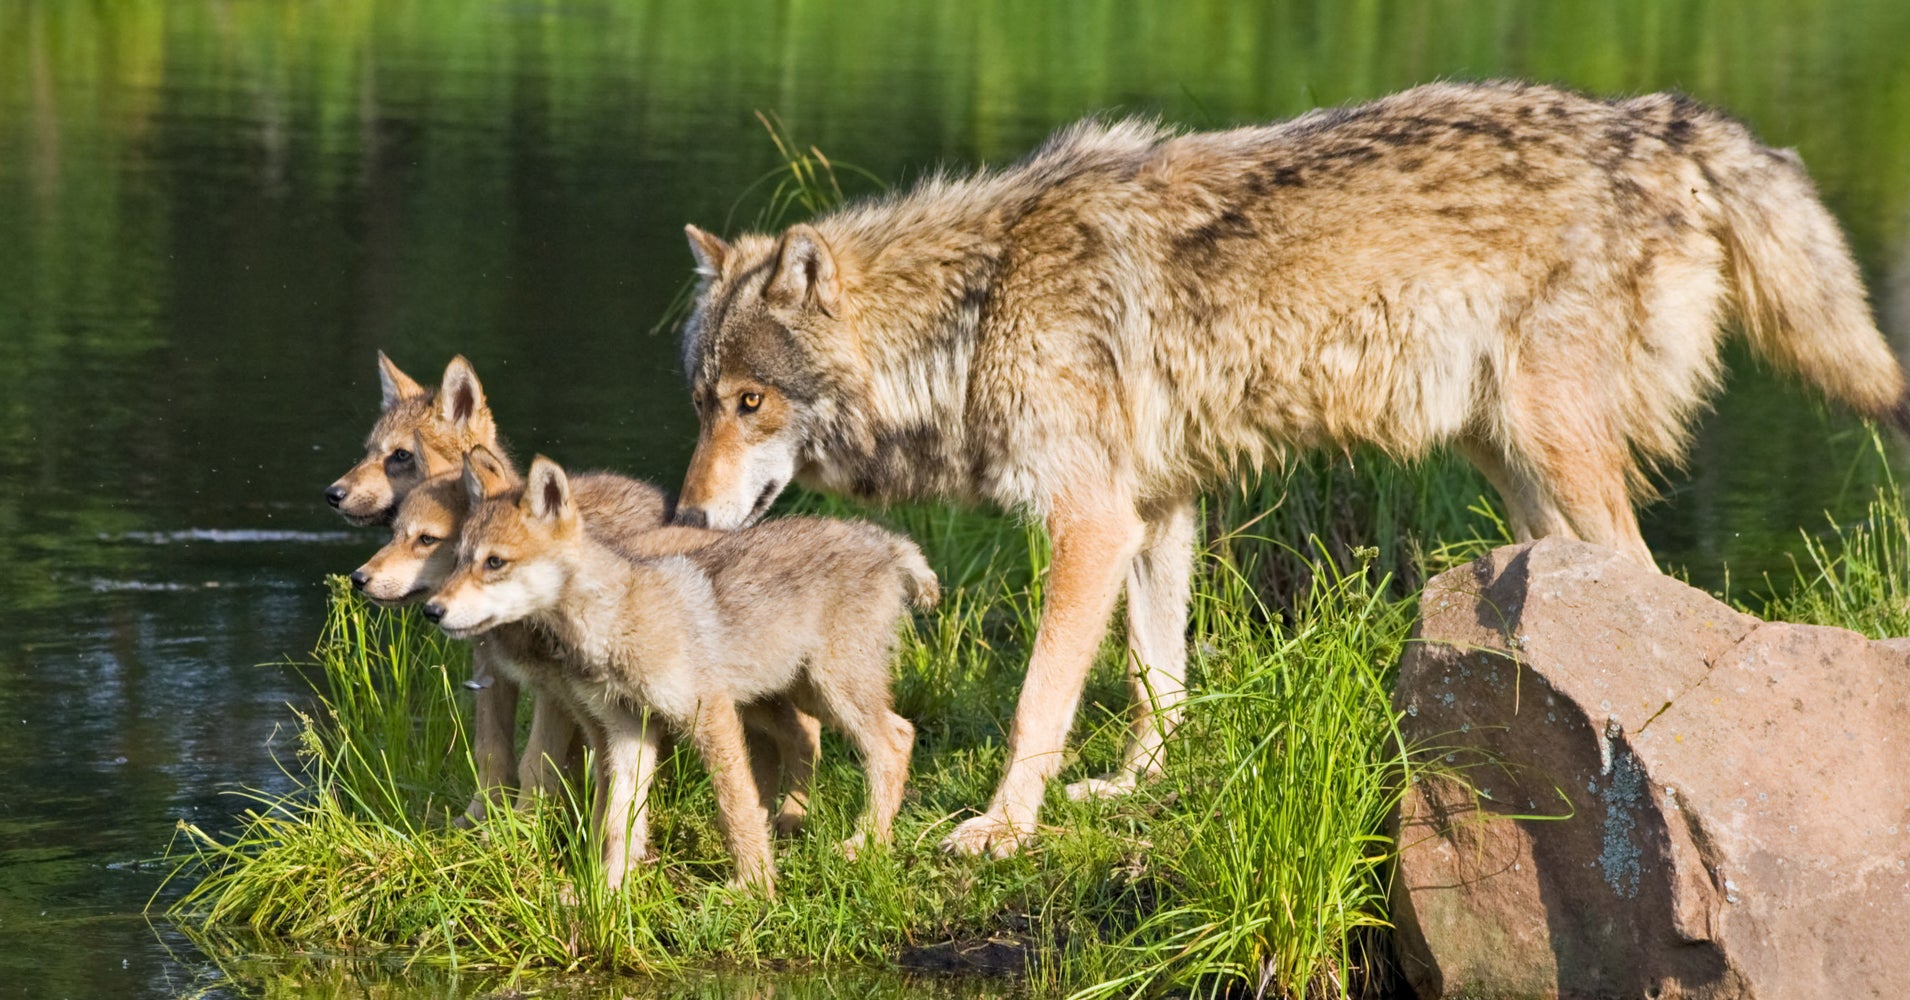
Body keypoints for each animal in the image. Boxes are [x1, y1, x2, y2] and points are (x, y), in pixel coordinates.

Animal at [425, 452, 935, 893]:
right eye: (458, 559)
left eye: (494, 562)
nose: (433, 610)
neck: (615, 621)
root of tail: (880, 540)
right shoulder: (627, 732)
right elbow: (619, 822)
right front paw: (607, 890)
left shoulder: (709, 717)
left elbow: (734, 808)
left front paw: (752, 887)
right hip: (795, 694)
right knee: (827, 740)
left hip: (833, 692)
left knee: (895, 740)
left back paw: (864, 843)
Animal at [672, 80, 1910, 856]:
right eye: (699, 401)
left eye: (750, 403)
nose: (681, 514)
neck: (974, 306)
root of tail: (1649, 120)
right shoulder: (1153, 513)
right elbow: (1156, 673)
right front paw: (1137, 785)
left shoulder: (1086, 521)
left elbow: (1038, 700)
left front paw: (1000, 829)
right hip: (1510, 468)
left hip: (1553, 448)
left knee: (1646, 576)